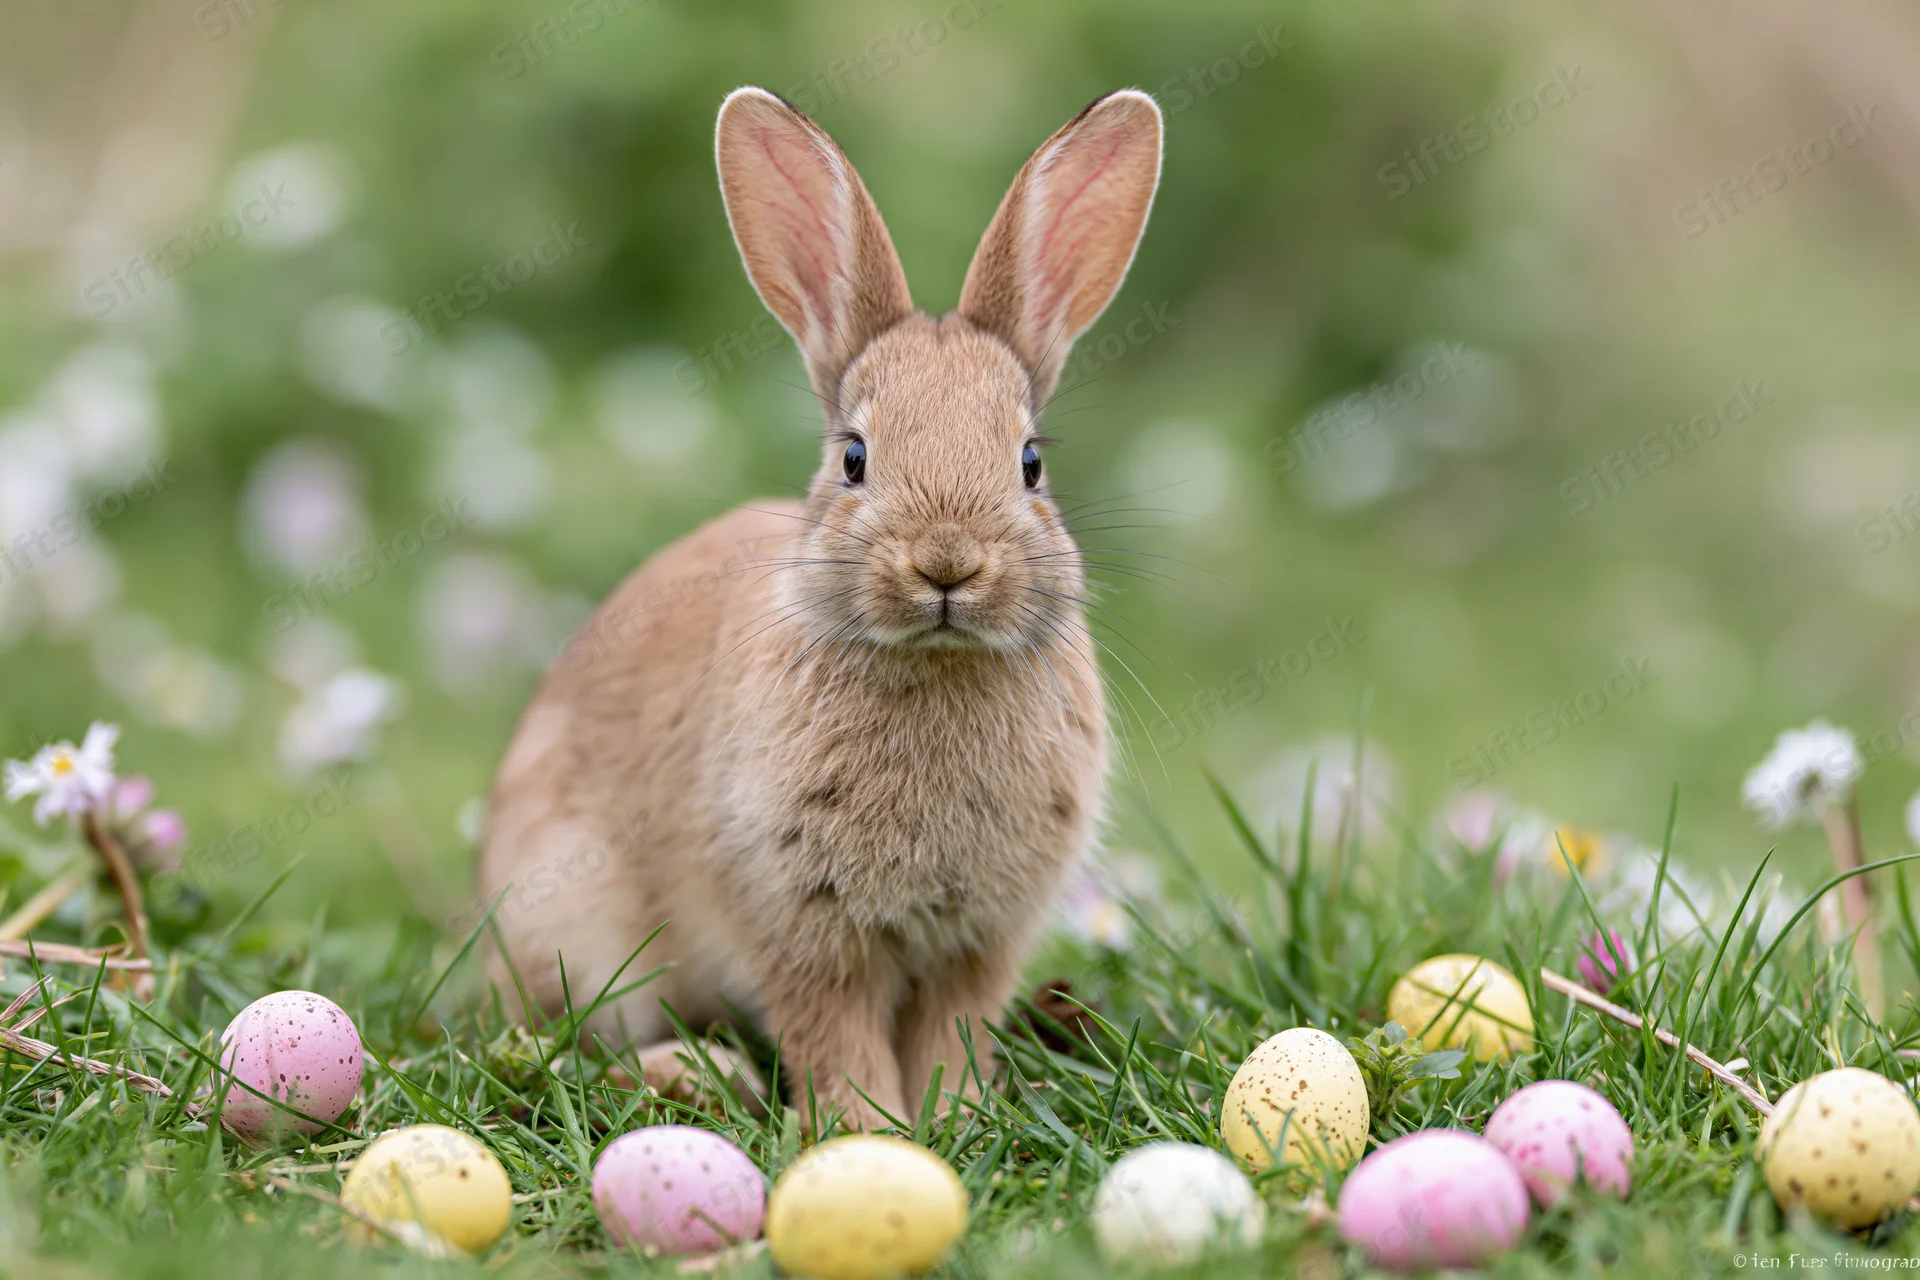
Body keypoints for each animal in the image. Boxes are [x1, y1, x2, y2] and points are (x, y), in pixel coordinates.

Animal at [478, 85, 1162, 1131]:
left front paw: (955, 1117)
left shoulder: (980, 940)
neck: (932, 662)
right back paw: (695, 1074)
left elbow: (954, 1027)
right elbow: (832, 1031)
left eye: (1030, 463)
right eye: (854, 458)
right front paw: (864, 1128)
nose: (947, 564)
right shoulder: (794, 920)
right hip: (574, 921)